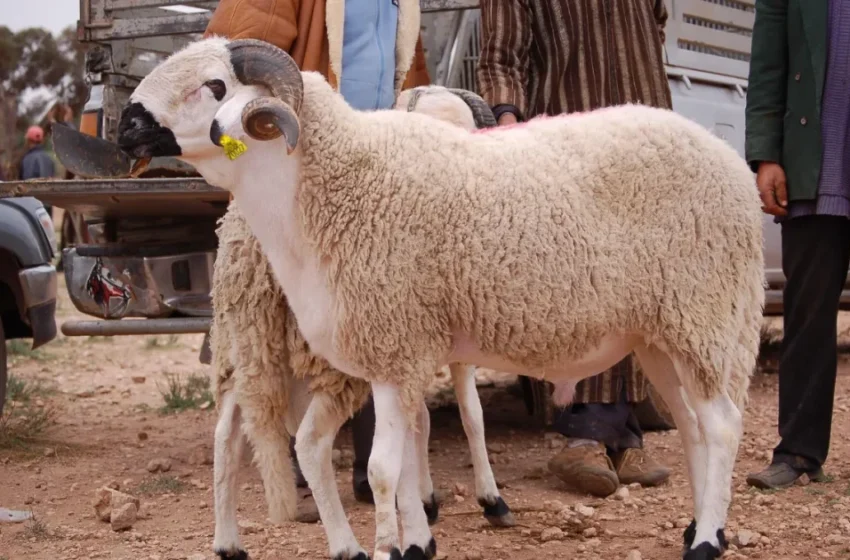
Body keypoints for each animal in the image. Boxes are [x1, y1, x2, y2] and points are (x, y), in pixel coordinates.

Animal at [116, 37, 765, 560]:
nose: (125, 125)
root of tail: (733, 165)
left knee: (723, 426)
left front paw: (391, 545)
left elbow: (383, 468)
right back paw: (696, 526)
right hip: (661, 332)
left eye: (215, 86)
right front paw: (416, 541)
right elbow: (403, 457)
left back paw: (707, 541)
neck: (331, 185)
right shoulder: (396, 354)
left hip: (704, 311)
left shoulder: (397, 344)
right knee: (694, 427)